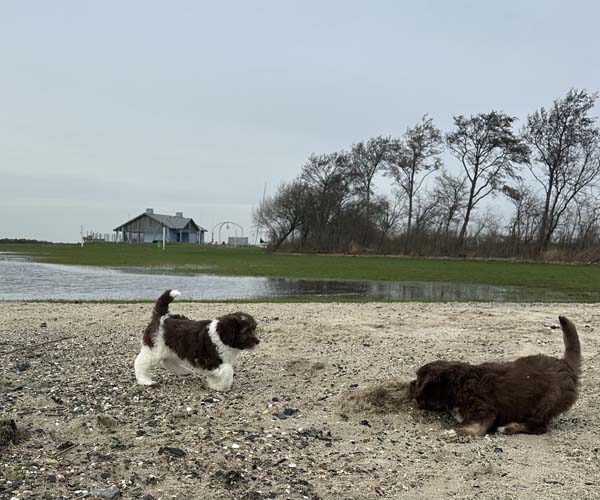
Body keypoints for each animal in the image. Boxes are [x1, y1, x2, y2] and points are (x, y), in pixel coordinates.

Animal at [408, 316, 581, 436]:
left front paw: (454, 432)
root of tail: (566, 365)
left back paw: (509, 427)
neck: (454, 384)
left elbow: (473, 425)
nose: (410, 383)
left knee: (538, 427)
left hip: (544, 406)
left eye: (418, 380)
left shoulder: (482, 409)